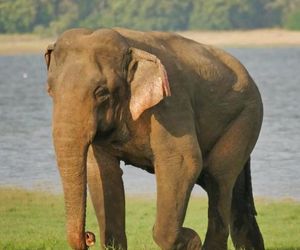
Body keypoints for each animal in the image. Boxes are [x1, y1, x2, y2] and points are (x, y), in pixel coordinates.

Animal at [44, 27, 264, 250]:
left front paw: (191, 240)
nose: (89, 236)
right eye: (50, 90)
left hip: (246, 117)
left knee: (217, 177)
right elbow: (102, 171)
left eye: (102, 92)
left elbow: (182, 162)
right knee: (237, 197)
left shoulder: (171, 101)